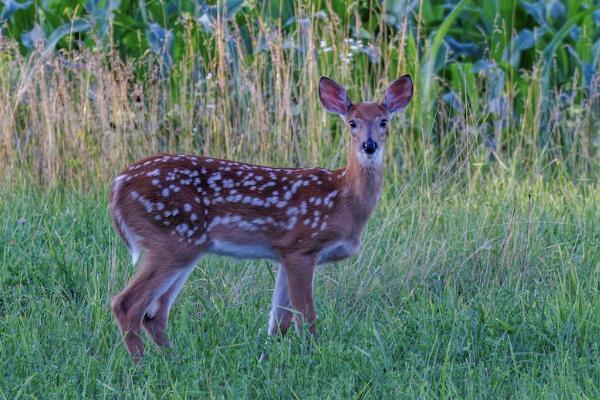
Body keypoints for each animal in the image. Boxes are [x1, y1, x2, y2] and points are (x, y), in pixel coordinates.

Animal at [109, 74, 412, 360]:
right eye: (352, 123)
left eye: (384, 121)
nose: (369, 146)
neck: (343, 200)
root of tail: (118, 185)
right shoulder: (302, 246)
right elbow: (306, 319)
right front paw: (311, 358)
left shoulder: (284, 254)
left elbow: (279, 323)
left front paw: (265, 360)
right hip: (172, 240)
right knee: (127, 305)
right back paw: (143, 366)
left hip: (185, 247)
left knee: (155, 314)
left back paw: (172, 361)